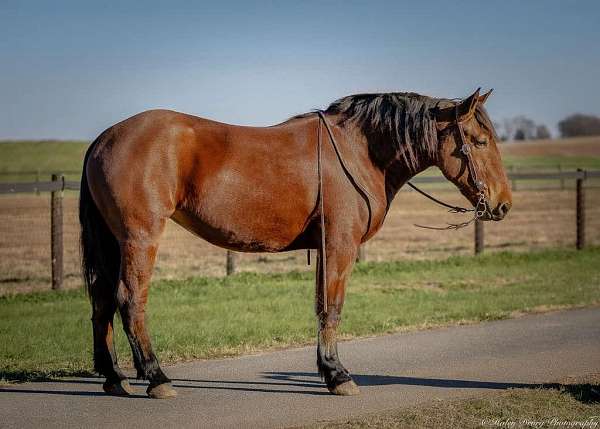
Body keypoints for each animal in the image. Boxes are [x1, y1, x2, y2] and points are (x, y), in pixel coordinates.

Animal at [78, 87, 510, 398]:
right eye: (479, 141)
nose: (503, 203)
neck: (359, 151)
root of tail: (103, 139)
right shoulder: (339, 245)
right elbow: (332, 309)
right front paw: (338, 375)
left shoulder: (324, 248)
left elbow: (321, 307)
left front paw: (328, 370)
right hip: (140, 238)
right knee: (130, 299)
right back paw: (156, 377)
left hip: (114, 242)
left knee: (102, 301)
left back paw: (115, 377)